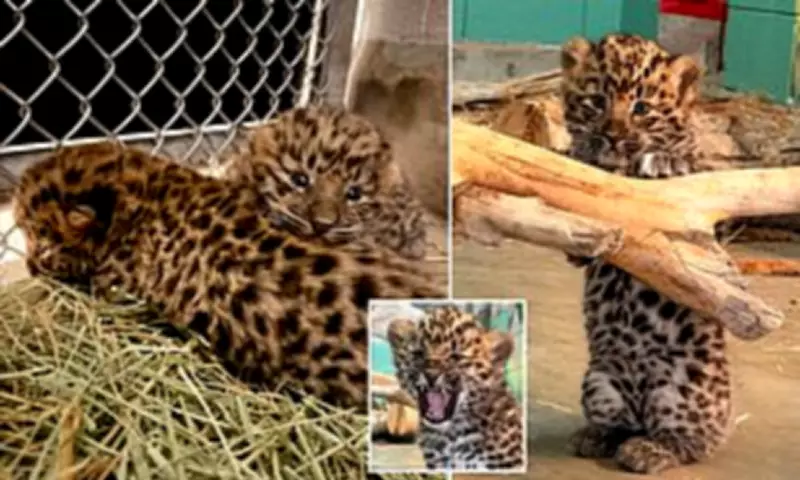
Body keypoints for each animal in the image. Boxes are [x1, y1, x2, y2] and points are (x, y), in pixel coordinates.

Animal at [559, 33, 733, 474]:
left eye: (642, 108)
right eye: (596, 100)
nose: (613, 135)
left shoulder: (706, 217)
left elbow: (687, 167)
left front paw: (665, 159)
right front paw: (581, 153)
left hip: (685, 391)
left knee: (692, 442)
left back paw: (651, 451)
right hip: (599, 381)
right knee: (623, 425)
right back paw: (597, 436)